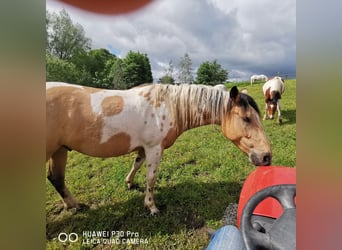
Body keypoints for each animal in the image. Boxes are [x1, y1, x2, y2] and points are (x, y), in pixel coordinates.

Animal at [45, 82, 272, 215]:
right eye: (246, 118)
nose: (267, 156)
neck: (167, 105)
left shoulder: (143, 148)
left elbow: (136, 165)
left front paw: (129, 183)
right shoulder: (154, 148)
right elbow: (151, 177)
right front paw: (151, 206)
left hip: (59, 150)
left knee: (56, 179)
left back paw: (73, 206)